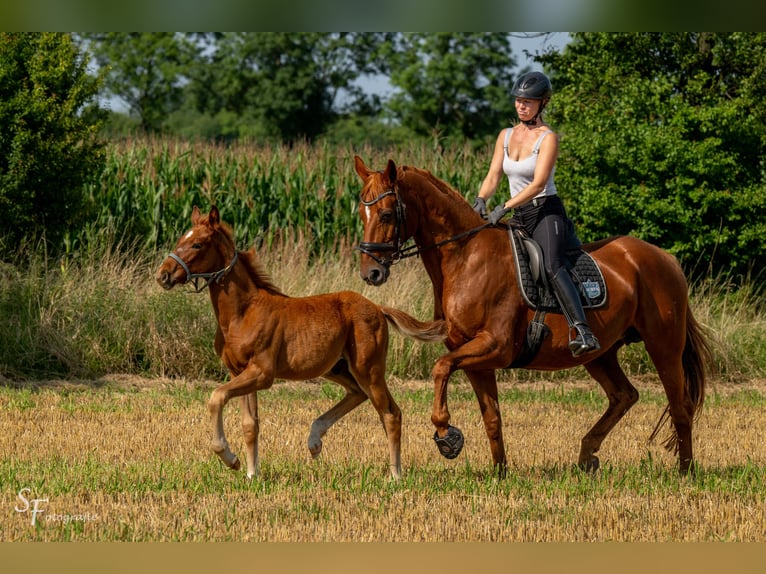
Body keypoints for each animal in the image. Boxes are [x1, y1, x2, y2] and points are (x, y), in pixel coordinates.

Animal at [155, 207, 448, 482]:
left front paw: (230, 458)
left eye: (197, 244)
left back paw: (395, 475)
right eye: (181, 238)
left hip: (369, 368)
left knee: (390, 413)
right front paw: (251, 474)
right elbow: (250, 424)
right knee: (358, 394)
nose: (163, 274)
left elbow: (216, 397)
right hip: (337, 368)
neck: (243, 312)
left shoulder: (262, 373)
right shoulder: (238, 371)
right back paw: (314, 440)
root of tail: (378, 307)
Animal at [354, 158, 712, 476]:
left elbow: (440, 368)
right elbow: (492, 417)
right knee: (624, 395)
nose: (370, 273)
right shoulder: (473, 357)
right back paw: (587, 454)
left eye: (386, 213)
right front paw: (499, 473)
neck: (466, 258)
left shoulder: (495, 347)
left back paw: (685, 471)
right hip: (601, 353)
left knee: (679, 405)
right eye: (361, 212)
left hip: (663, 346)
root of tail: (665, 257)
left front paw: (446, 436)